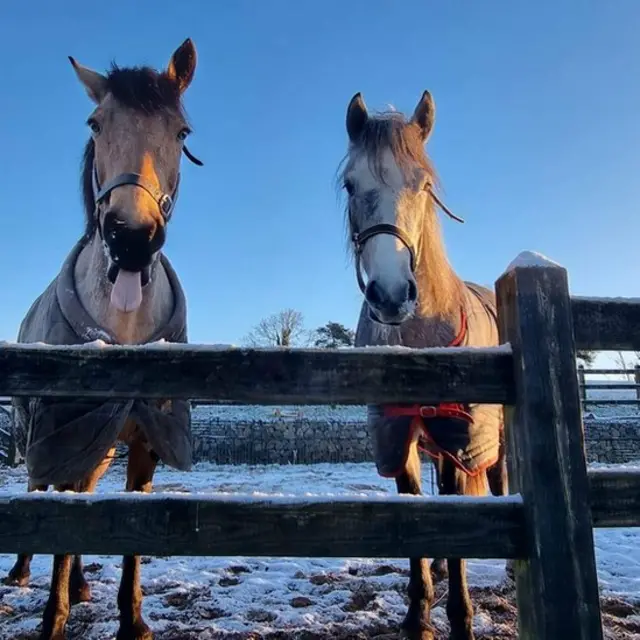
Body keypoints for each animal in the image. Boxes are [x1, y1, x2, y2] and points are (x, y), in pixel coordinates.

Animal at [1, 40, 202, 640]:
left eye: (181, 131)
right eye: (95, 123)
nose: (132, 238)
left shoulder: (145, 442)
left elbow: (128, 523)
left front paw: (131, 618)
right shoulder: (65, 432)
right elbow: (65, 518)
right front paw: (53, 618)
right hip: (36, 431)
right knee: (40, 490)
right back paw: (27, 571)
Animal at [338, 91, 508, 640]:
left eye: (425, 185)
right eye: (352, 185)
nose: (391, 295)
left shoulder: (457, 435)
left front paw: (461, 618)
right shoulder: (399, 434)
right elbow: (416, 509)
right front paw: (418, 614)